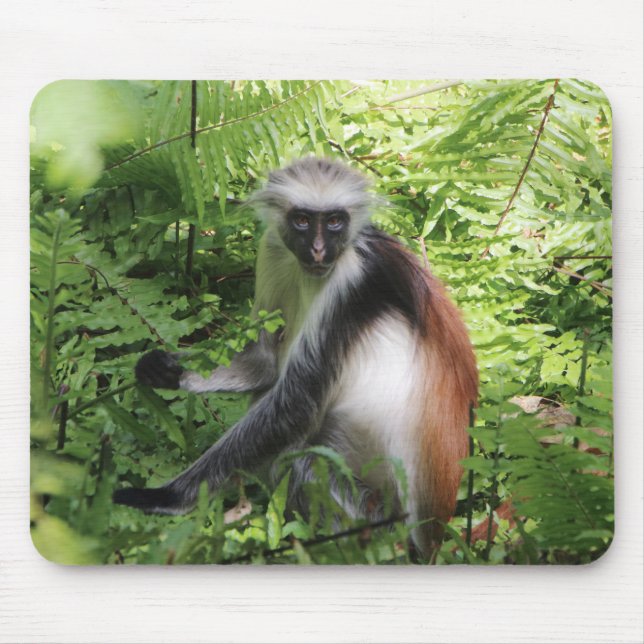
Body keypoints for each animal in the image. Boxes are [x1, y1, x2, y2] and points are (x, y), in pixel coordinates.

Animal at [113, 157, 478, 557]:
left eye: (334, 221)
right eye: (302, 220)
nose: (318, 250)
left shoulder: (351, 284)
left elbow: (296, 408)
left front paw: (167, 497)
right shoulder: (274, 247)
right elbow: (265, 361)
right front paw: (168, 371)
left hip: (375, 519)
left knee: (304, 462)